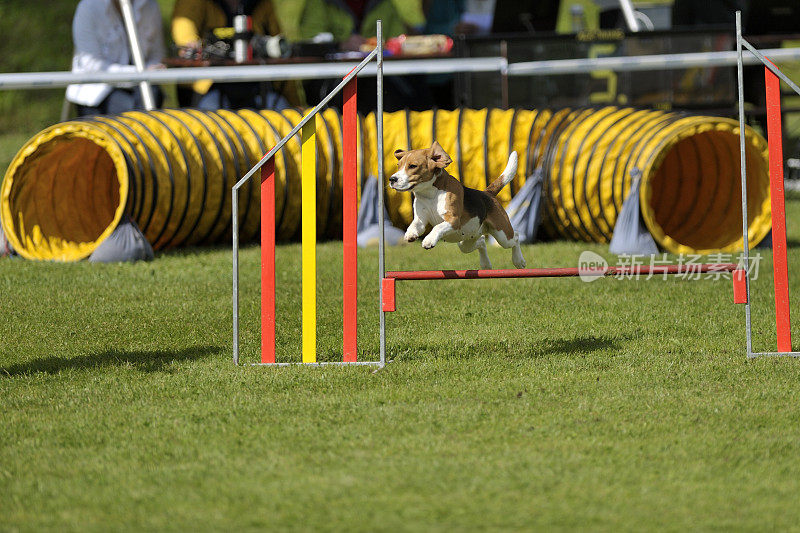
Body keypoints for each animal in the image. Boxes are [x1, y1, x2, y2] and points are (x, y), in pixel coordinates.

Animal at [388, 140, 524, 268]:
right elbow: (414, 225)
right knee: (481, 242)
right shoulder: (420, 219)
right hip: (466, 242)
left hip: (503, 235)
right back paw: (485, 264)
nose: (392, 179)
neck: (430, 193)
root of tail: (487, 193)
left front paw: (429, 240)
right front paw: (410, 234)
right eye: (398, 165)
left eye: (412, 166)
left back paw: (519, 261)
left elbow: (437, 227)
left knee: (516, 237)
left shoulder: (453, 220)